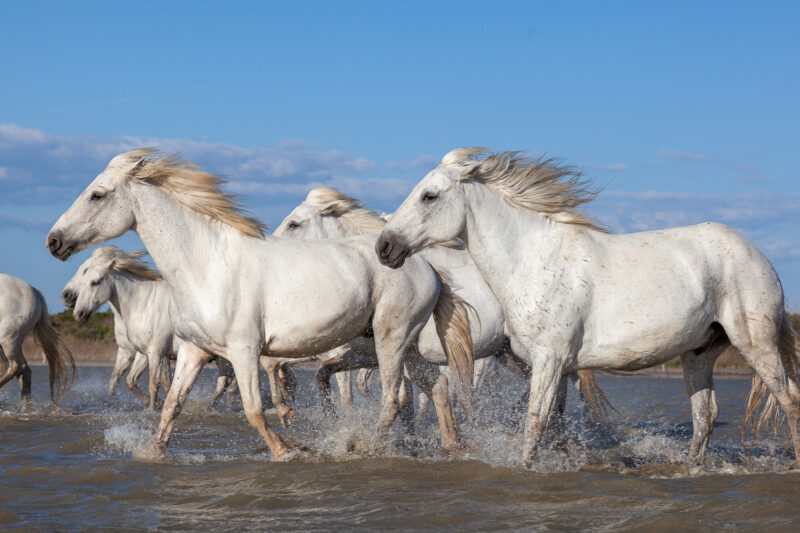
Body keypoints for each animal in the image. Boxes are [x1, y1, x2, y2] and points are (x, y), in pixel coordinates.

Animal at [61, 245, 239, 408]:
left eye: (94, 282)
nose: (78, 313)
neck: (143, 305)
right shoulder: (141, 353)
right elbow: (129, 380)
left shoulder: (156, 354)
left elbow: (155, 384)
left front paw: (152, 410)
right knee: (226, 383)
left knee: (225, 384)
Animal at [378, 149, 800, 466]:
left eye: (429, 196)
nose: (385, 247)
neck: (532, 259)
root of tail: (757, 253)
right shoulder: (561, 366)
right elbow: (554, 425)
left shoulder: (549, 361)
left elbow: (535, 423)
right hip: (699, 353)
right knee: (705, 415)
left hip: (756, 344)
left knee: (789, 400)